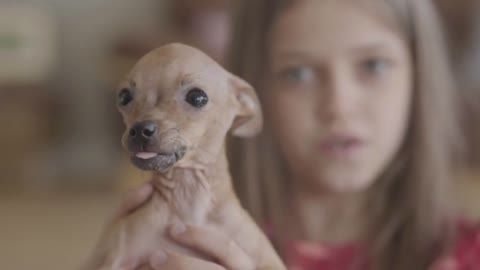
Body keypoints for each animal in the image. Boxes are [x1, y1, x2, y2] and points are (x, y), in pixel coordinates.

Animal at [89, 43, 284, 270]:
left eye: (197, 97)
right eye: (123, 97)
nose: (138, 130)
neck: (188, 196)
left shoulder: (267, 259)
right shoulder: (114, 259)